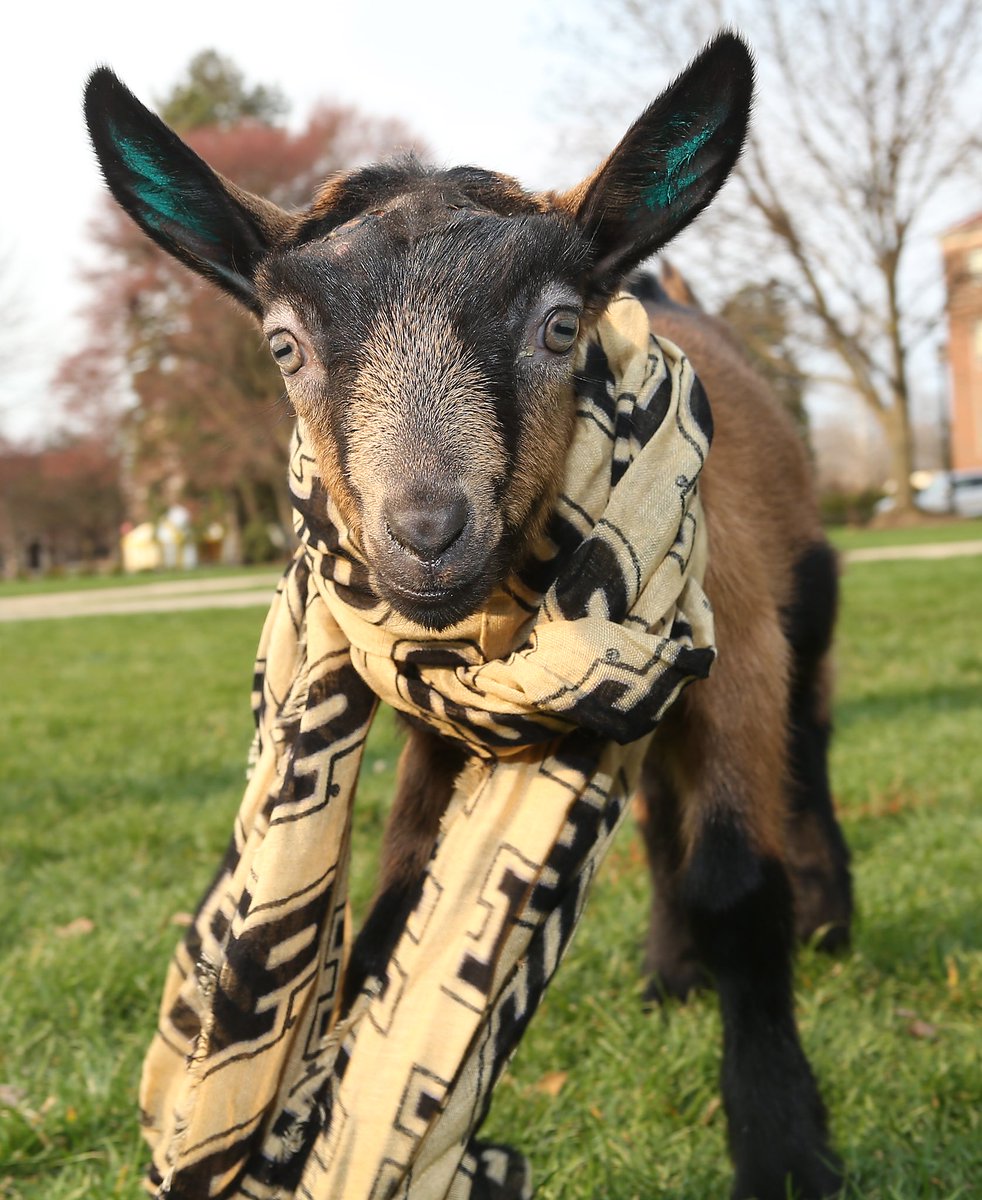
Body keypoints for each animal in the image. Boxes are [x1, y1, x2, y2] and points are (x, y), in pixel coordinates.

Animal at [85, 32, 850, 1200]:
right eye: (283, 346)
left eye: (560, 325)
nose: (426, 529)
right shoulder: (435, 720)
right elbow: (397, 904)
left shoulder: (737, 646)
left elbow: (736, 888)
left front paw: (786, 1147)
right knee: (661, 806)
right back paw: (668, 973)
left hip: (801, 605)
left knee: (806, 749)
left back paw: (829, 920)